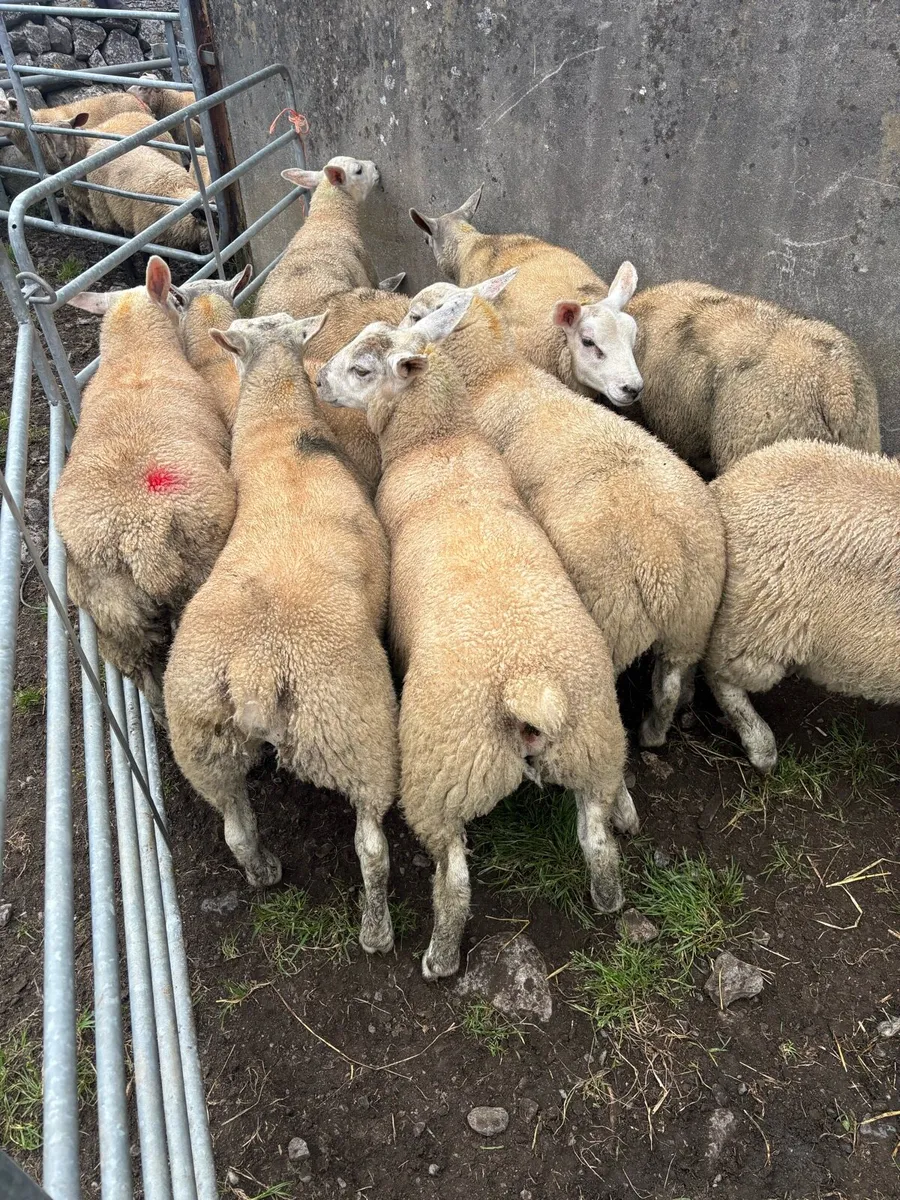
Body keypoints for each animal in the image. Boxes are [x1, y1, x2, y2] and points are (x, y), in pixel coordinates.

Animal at [52, 256, 235, 721]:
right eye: (175, 298)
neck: (134, 355)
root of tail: (138, 538)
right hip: (194, 575)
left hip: (112, 616)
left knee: (144, 678)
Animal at [163, 312, 398, 954]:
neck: (283, 435)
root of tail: (256, 674)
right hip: (352, 729)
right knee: (371, 848)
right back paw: (376, 931)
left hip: (203, 740)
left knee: (235, 829)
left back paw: (264, 872)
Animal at [317, 293, 637, 979]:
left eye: (361, 369)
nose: (319, 380)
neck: (440, 443)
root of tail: (529, 686)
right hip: (593, 746)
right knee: (598, 842)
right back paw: (607, 899)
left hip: (443, 772)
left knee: (456, 881)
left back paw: (439, 958)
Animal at [399, 273, 726, 749]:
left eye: (416, 315)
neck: (492, 375)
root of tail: (666, 564)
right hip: (693, 621)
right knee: (669, 682)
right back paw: (654, 730)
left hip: (612, 619)